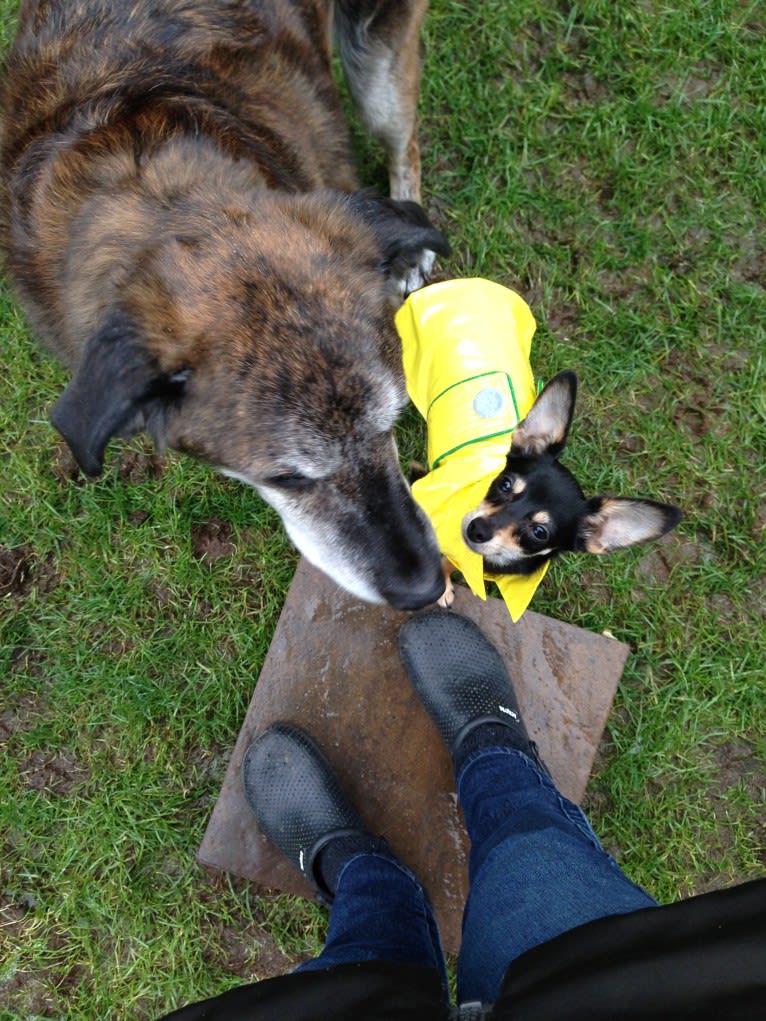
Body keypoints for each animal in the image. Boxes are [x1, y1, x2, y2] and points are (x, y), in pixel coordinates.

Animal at [0, 0, 449, 604]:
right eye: (286, 478)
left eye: (393, 422)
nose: (425, 587)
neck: (168, 201)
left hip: (377, 68)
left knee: (407, 144)